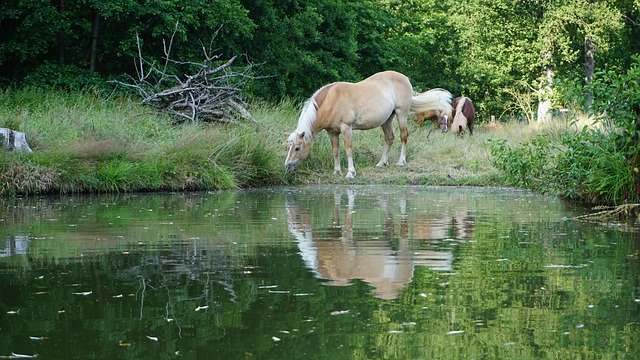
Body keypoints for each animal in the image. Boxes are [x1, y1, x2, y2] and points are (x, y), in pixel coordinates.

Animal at [284, 70, 450, 179]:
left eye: (297, 148)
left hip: (401, 114)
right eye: (288, 147)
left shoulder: (346, 128)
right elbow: (335, 151)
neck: (332, 100)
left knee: (404, 136)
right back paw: (382, 163)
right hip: (386, 120)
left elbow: (348, 149)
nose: (287, 166)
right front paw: (336, 171)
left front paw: (350, 173)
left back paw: (401, 161)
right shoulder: (332, 132)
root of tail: (405, 78)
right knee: (389, 138)